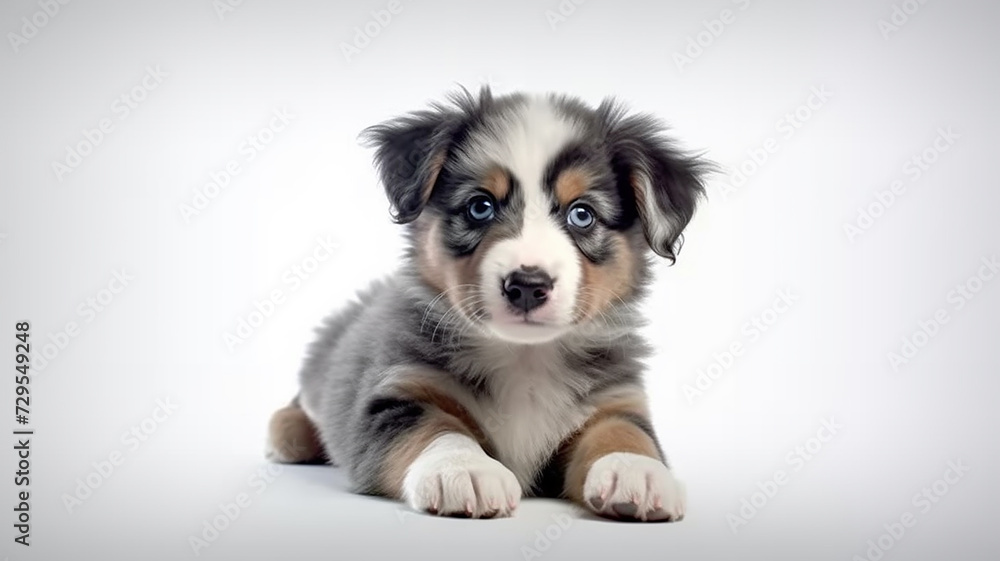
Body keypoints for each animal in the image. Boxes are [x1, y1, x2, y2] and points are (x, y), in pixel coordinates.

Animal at [262, 87, 708, 520]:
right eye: (480, 206)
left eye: (582, 214)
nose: (527, 285)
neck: (525, 357)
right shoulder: (394, 394)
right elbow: (434, 429)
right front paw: (463, 468)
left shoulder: (614, 400)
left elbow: (624, 431)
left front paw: (637, 470)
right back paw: (286, 433)